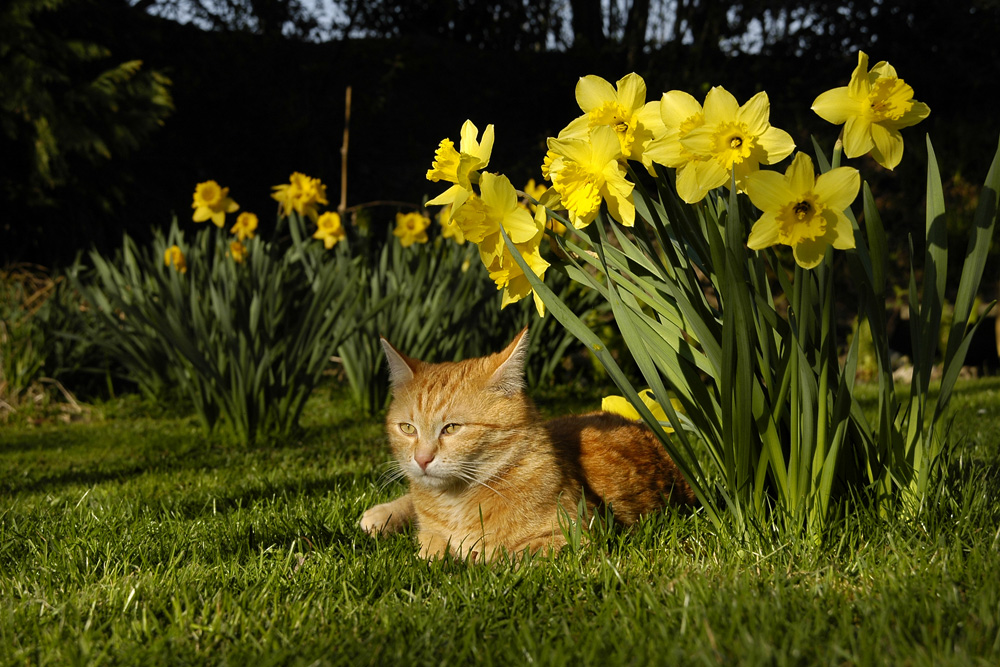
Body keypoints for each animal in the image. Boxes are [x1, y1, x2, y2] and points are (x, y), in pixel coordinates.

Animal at [360, 330, 696, 564]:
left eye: (452, 428)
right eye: (407, 428)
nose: (421, 459)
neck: (454, 503)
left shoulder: (574, 538)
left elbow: (504, 554)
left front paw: (470, 553)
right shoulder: (430, 529)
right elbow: (430, 543)